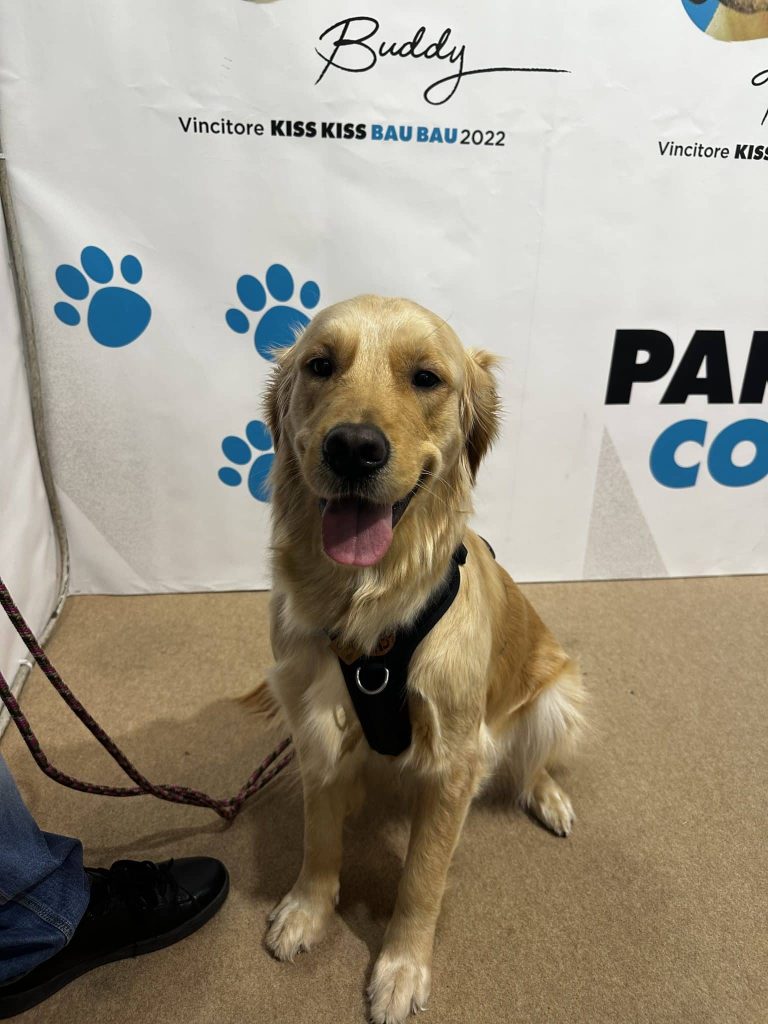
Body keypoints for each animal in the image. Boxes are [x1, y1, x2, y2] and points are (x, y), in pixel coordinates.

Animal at [260, 295, 585, 1024]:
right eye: (320, 365)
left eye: (427, 378)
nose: (354, 448)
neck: (368, 613)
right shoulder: (313, 724)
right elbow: (318, 837)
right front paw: (307, 909)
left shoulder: (454, 761)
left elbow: (421, 879)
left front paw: (402, 966)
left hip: (558, 695)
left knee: (532, 762)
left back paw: (549, 799)